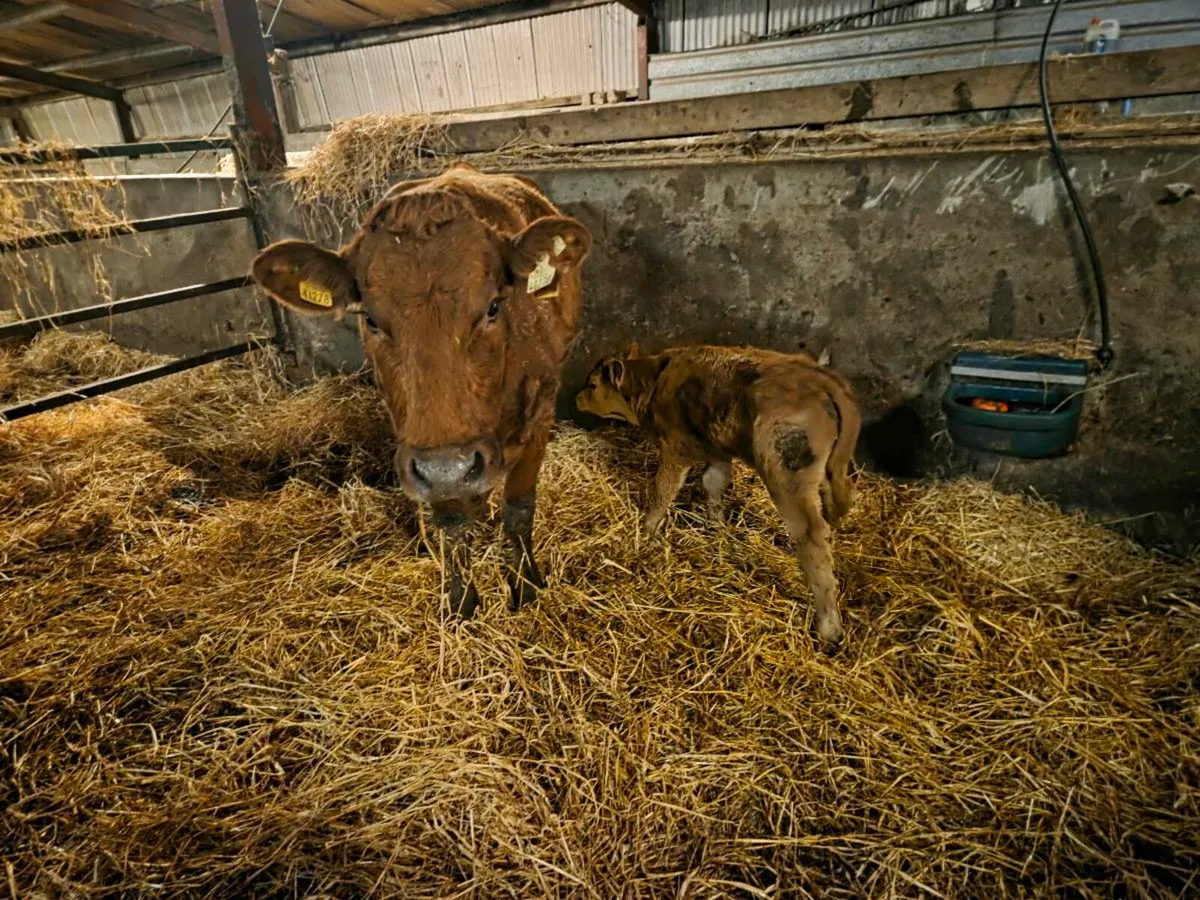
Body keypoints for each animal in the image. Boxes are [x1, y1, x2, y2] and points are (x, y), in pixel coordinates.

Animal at [250, 164, 592, 619]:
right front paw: (461, 605)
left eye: (493, 307)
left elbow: (519, 510)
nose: (449, 467)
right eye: (370, 319)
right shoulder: (424, 450)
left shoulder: (540, 415)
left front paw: (527, 588)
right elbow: (450, 525)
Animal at [575, 344, 860, 648]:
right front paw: (715, 526)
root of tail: (819, 378)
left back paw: (829, 627)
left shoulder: (677, 446)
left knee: (812, 535)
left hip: (787, 473)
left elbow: (664, 489)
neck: (654, 380)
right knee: (838, 501)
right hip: (831, 469)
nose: (577, 398)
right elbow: (714, 482)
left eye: (592, 385)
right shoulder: (716, 448)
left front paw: (648, 528)